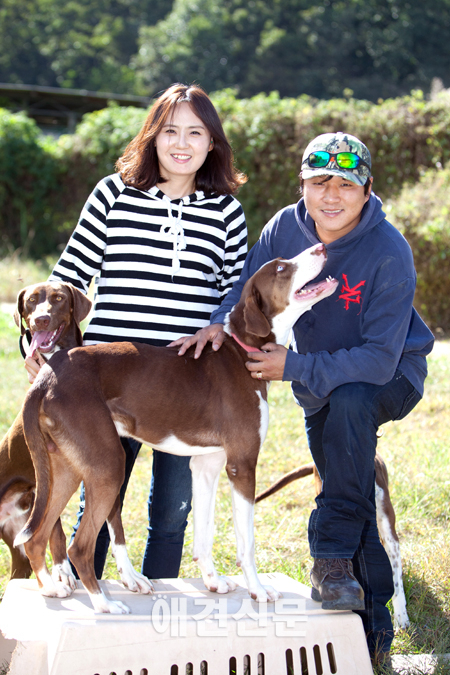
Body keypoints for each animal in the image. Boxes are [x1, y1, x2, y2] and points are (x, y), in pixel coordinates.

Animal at [14, 243, 338, 612]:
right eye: (281, 268)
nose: (321, 246)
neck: (242, 351)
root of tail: (47, 374)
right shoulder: (242, 465)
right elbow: (247, 542)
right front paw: (257, 589)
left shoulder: (207, 465)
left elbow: (204, 532)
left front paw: (213, 581)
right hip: (108, 466)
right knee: (78, 546)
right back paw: (105, 604)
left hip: (65, 468)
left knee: (36, 536)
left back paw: (51, 589)